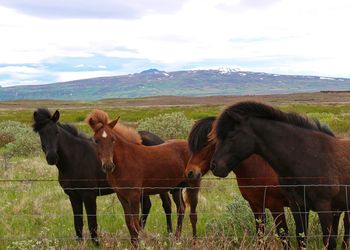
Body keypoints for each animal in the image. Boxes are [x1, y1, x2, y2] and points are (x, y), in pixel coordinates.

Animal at [32, 109, 175, 244]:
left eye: (56, 132)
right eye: (41, 133)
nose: (52, 157)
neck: (76, 158)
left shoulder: (89, 195)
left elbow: (92, 224)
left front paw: (96, 244)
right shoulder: (73, 196)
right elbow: (78, 223)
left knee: (167, 205)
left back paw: (169, 234)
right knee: (147, 206)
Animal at [85, 110, 200, 247]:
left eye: (113, 139)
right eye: (96, 141)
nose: (108, 166)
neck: (125, 161)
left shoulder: (134, 195)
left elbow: (135, 223)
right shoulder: (122, 196)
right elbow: (129, 222)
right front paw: (134, 244)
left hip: (193, 184)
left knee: (193, 214)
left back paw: (194, 241)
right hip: (176, 188)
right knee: (181, 209)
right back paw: (176, 239)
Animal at [186, 116, 290, 249]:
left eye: (206, 143)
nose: (189, 172)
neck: (260, 166)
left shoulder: (276, 206)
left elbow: (284, 237)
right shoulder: (256, 206)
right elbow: (260, 235)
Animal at [211, 102, 350, 250]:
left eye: (231, 135)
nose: (214, 166)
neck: (308, 156)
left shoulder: (323, 206)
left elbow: (329, 241)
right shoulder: (298, 206)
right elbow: (301, 238)